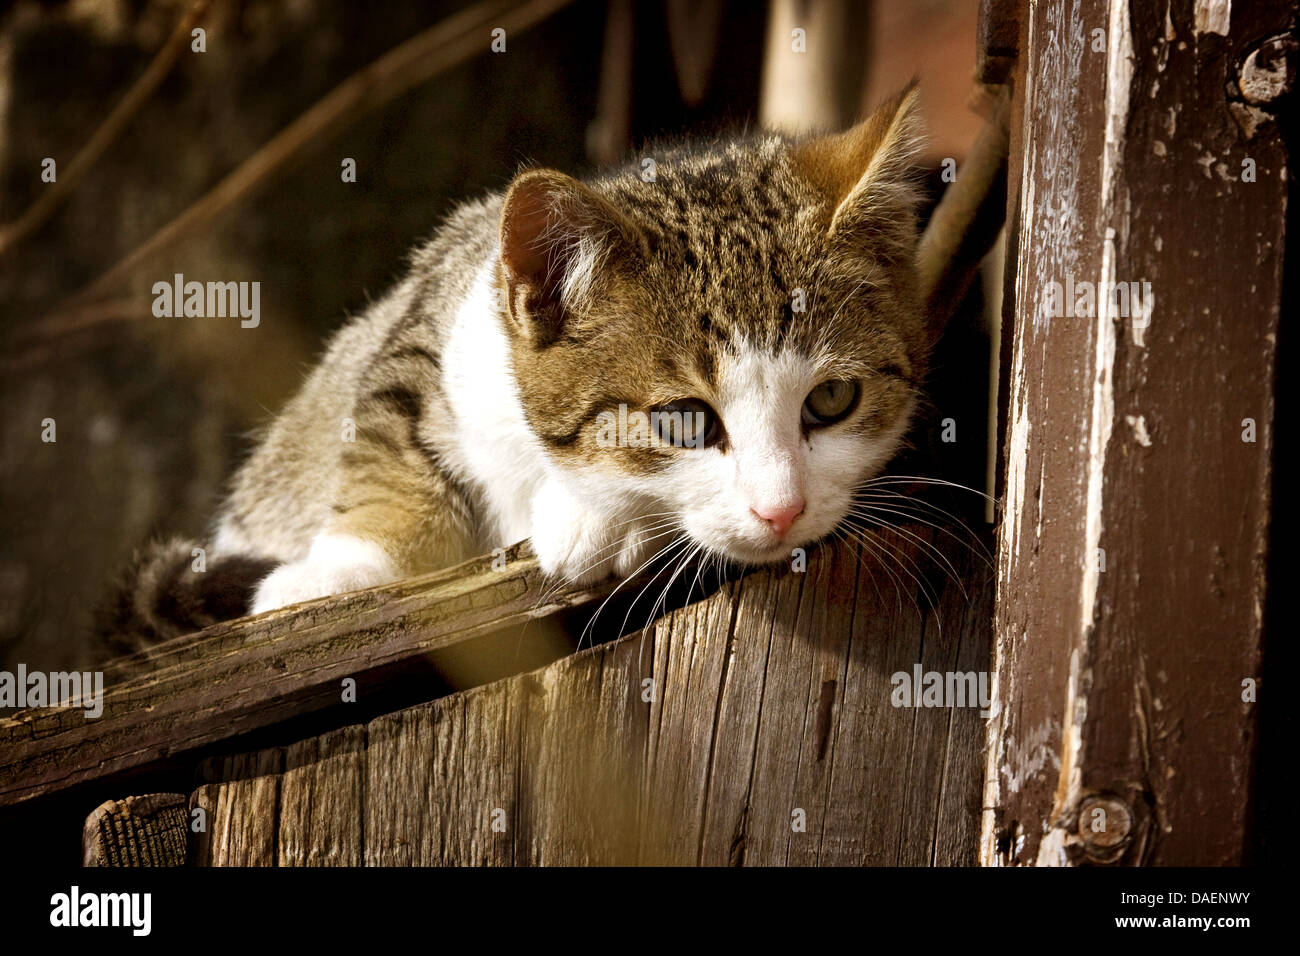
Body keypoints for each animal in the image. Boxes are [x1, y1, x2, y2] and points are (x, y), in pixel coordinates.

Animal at [104, 87, 935, 658]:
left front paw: (601, 518)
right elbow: (387, 441)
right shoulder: (443, 319)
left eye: (832, 398)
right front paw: (339, 572)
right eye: (683, 421)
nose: (781, 510)